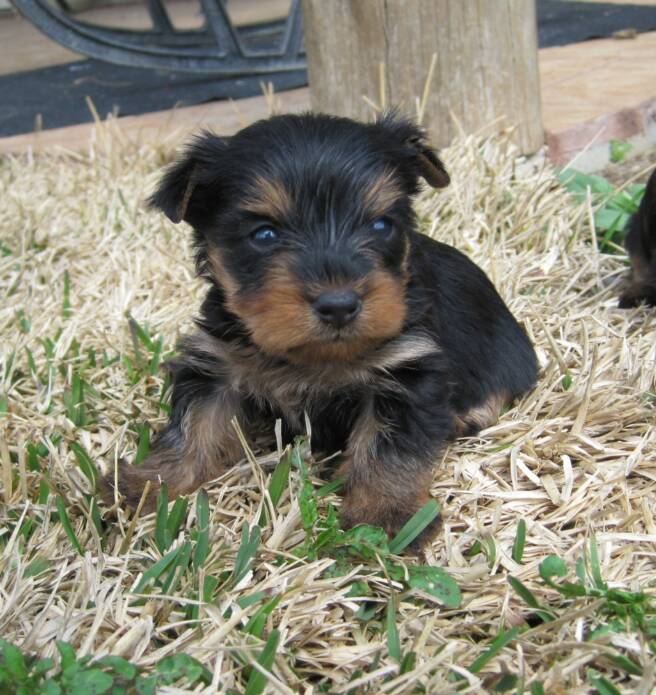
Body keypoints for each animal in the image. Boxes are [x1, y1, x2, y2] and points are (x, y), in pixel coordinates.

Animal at [103, 113, 538, 546]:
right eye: (264, 234)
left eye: (382, 225)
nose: (339, 304)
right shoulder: (218, 363)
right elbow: (194, 424)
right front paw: (148, 483)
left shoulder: (409, 369)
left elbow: (392, 446)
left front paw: (387, 513)